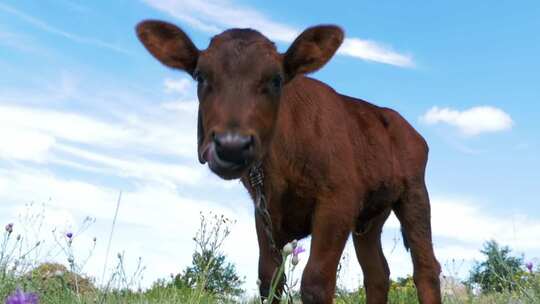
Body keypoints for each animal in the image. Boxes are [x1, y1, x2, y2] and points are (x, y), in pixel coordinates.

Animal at [137, 20, 440, 302]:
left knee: (425, 269)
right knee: (377, 273)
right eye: (200, 76)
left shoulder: (339, 200)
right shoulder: (264, 210)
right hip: (370, 219)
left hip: (415, 194)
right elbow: (270, 279)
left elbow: (315, 282)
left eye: (276, 80)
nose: (232, 145)